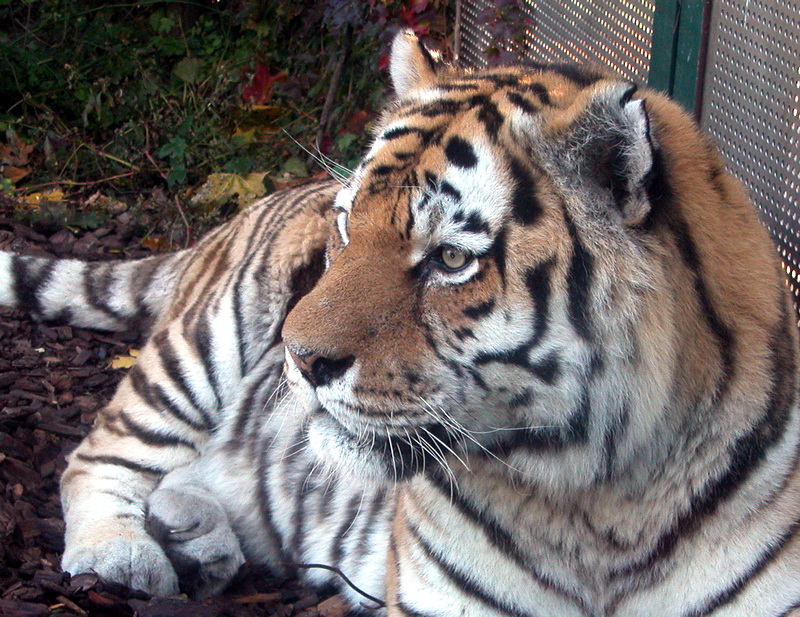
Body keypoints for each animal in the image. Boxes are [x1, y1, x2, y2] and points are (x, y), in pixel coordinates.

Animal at [1, 30, 800, 616]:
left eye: (449, 258)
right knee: (100, 451)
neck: (600, 511)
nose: (300, 359)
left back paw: (198, 542)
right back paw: (123, 555)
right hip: (211, 334)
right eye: (347, 226)